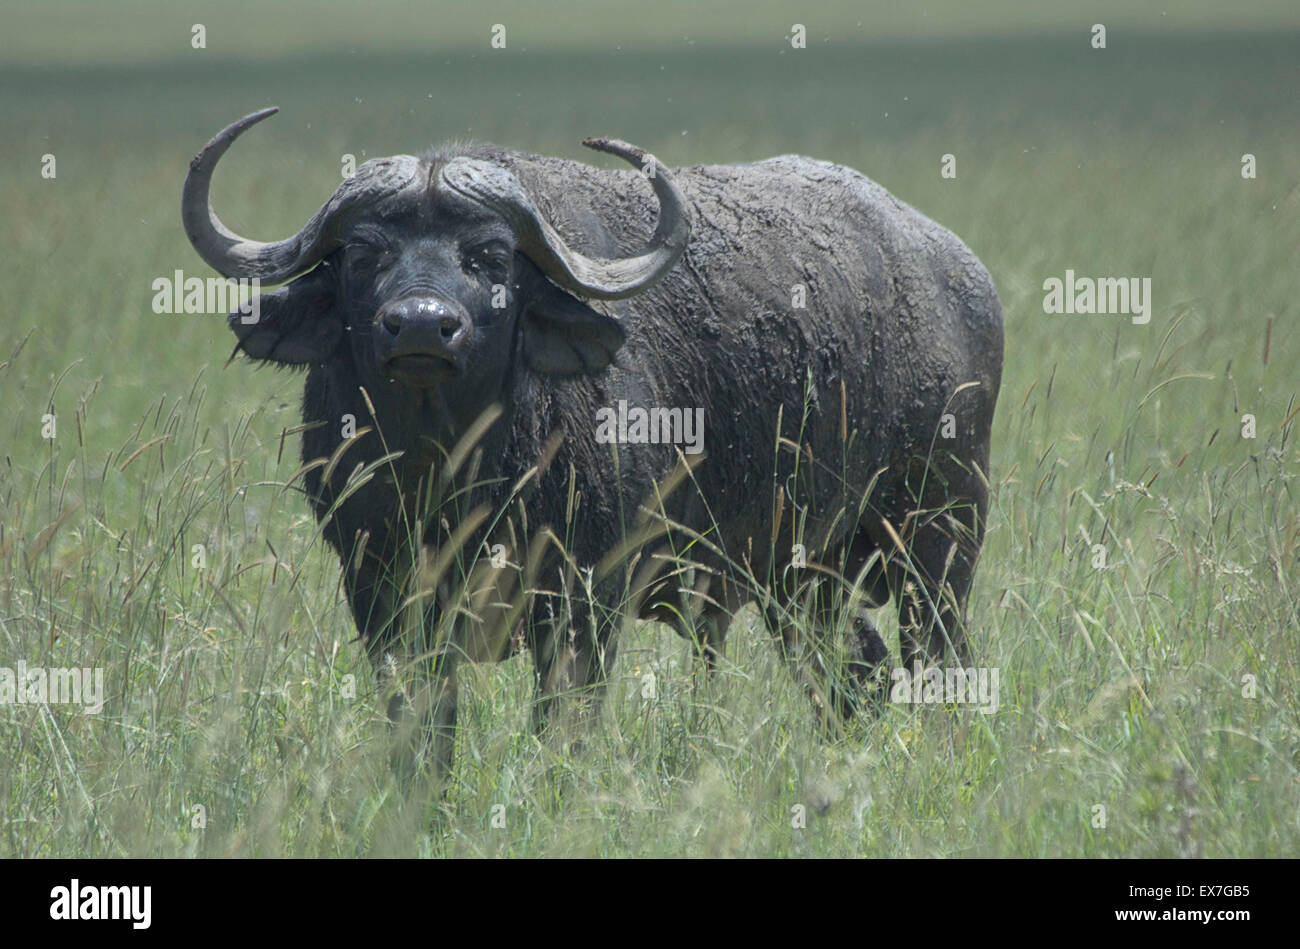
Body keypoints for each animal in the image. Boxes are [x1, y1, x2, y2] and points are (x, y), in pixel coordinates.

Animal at [182, 107, 1003, 778]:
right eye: (362, 254)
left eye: (491, 256)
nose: (420, 326)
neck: (452, 469)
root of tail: (960, 271)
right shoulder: (379, 589)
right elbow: (424, 726)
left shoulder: (584, 595)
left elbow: (562, 725)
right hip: (802, 574)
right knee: (857, 673)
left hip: (939, 536)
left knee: (940, 661)